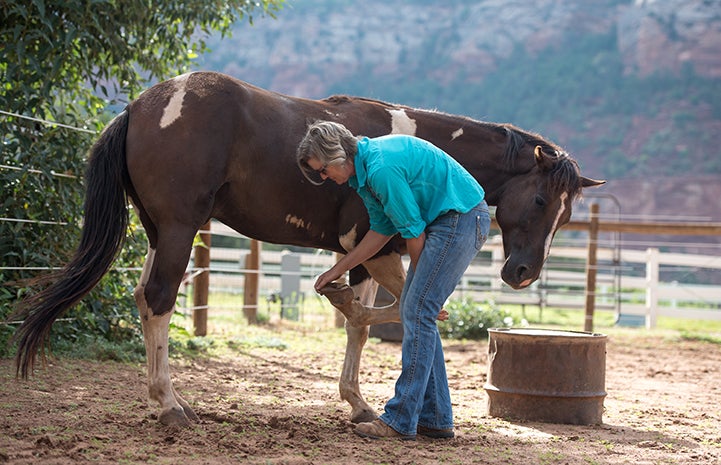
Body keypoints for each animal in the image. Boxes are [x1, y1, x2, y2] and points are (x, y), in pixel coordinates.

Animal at [14, 71, 604, 424]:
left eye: (566, 214)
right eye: (539, 201)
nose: (522, 273)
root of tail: (141, 106)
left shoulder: (370, 255)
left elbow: (370, 321)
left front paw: (361, 403)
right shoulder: (373, 248)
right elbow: (374, 319)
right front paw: (364, 404)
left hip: (160, 231)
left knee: (142, 299)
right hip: (180, 229)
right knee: (158, 301)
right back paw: (171, 406)